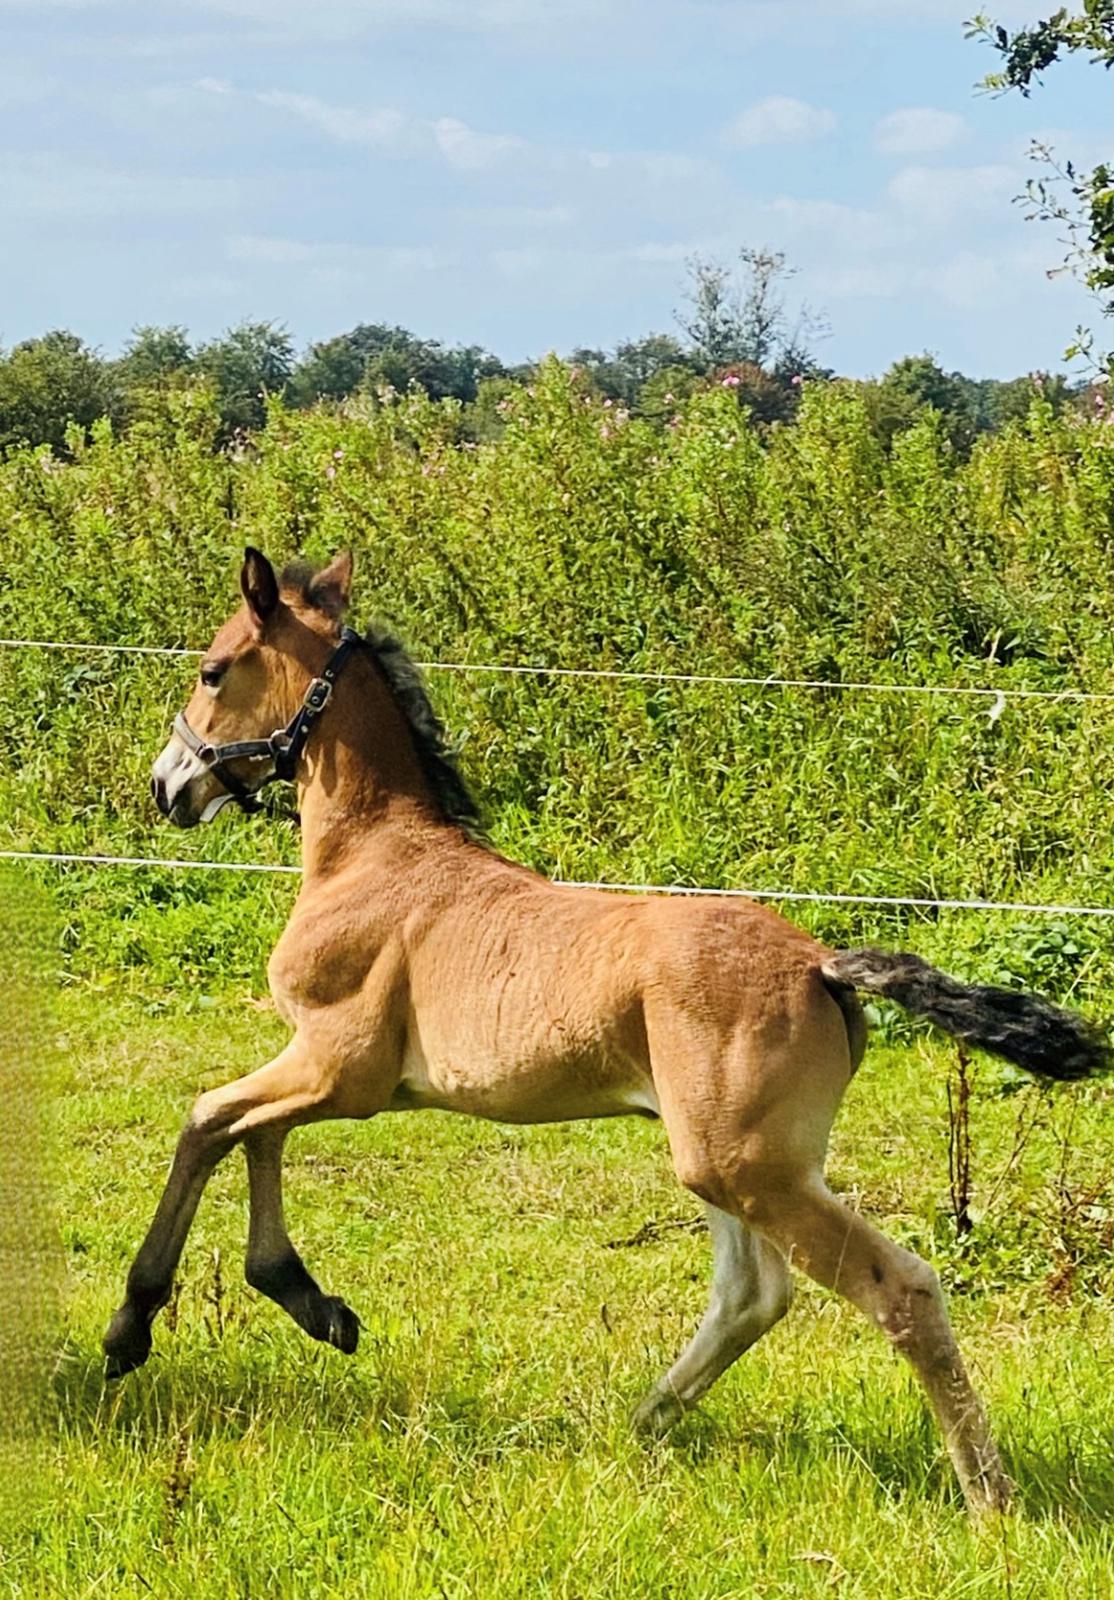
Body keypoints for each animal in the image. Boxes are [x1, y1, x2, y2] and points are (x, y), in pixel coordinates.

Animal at [102, 550, 1107, 1510]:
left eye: (213, 669)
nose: (167, 783)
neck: (372, 859)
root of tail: (823, 964)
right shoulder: (325, 1070)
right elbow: (249, 1133)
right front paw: (315, 1305)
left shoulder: (340, 1072)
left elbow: (209, 1120)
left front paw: (137, 1326)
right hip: (723, 1162)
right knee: (752, 1294)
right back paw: (641, 1424)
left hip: (752, 1169)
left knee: (899, 1288)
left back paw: (988, 1496)